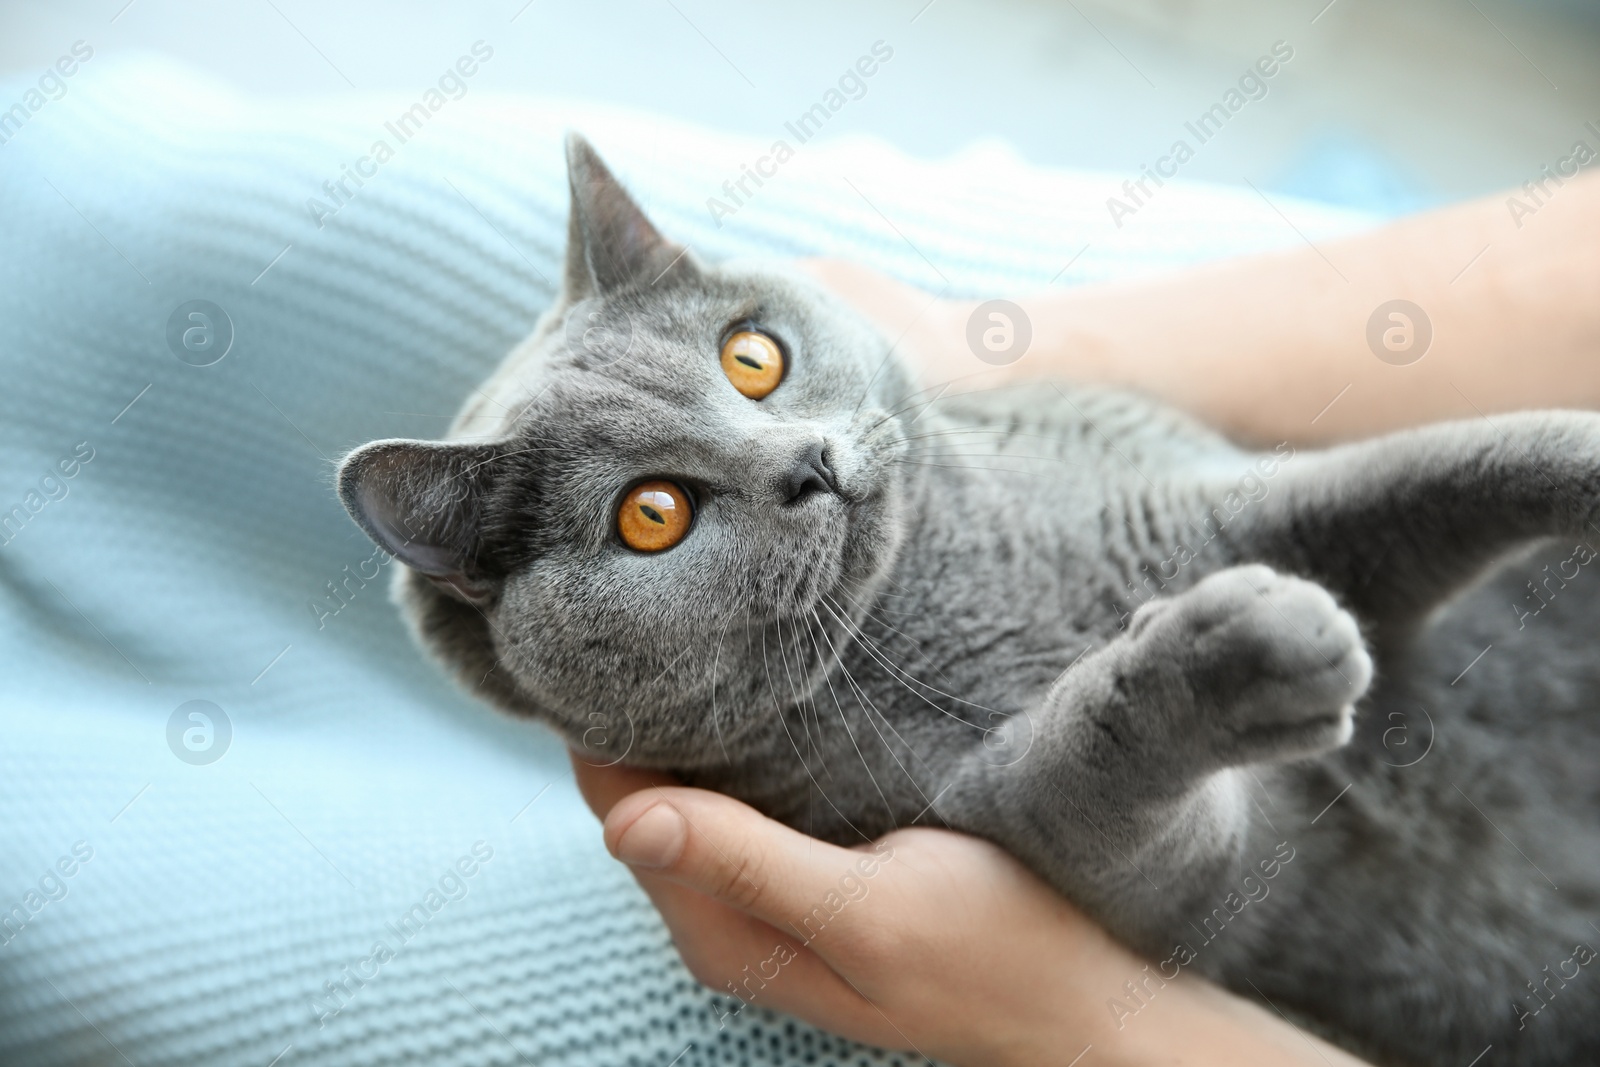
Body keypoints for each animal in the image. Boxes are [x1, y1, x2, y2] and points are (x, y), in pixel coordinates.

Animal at [337, 137, 1600, 1067]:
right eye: (653, 514)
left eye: (751, 358)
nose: (807, 463)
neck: (950, 572)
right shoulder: (1065, 846)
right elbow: (1087, 763)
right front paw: (1238, 652)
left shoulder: (1234, 497)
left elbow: (1440, 469)